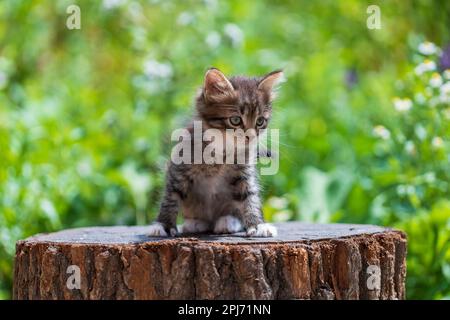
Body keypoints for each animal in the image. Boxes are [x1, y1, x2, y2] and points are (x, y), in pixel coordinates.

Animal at [148, 67, 284, 238]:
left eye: (260, 121)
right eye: (235, 120)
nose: (251, 137)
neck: (223, 147)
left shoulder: (244, 173)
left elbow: (250, 196)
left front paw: (259, 224)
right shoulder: (177, 169)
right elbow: (171, 197)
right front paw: (163, 225)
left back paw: (227, 221)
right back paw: (195, 223)